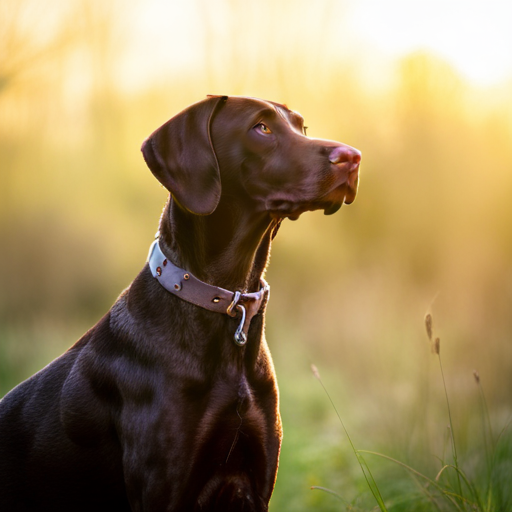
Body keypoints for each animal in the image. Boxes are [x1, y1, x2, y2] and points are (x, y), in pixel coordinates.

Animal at [0, 94, 360, 510]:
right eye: (262, 128)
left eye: (301, 127)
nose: (354, 157)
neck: (225, 302)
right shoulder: (163, 489)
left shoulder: (254, 485)